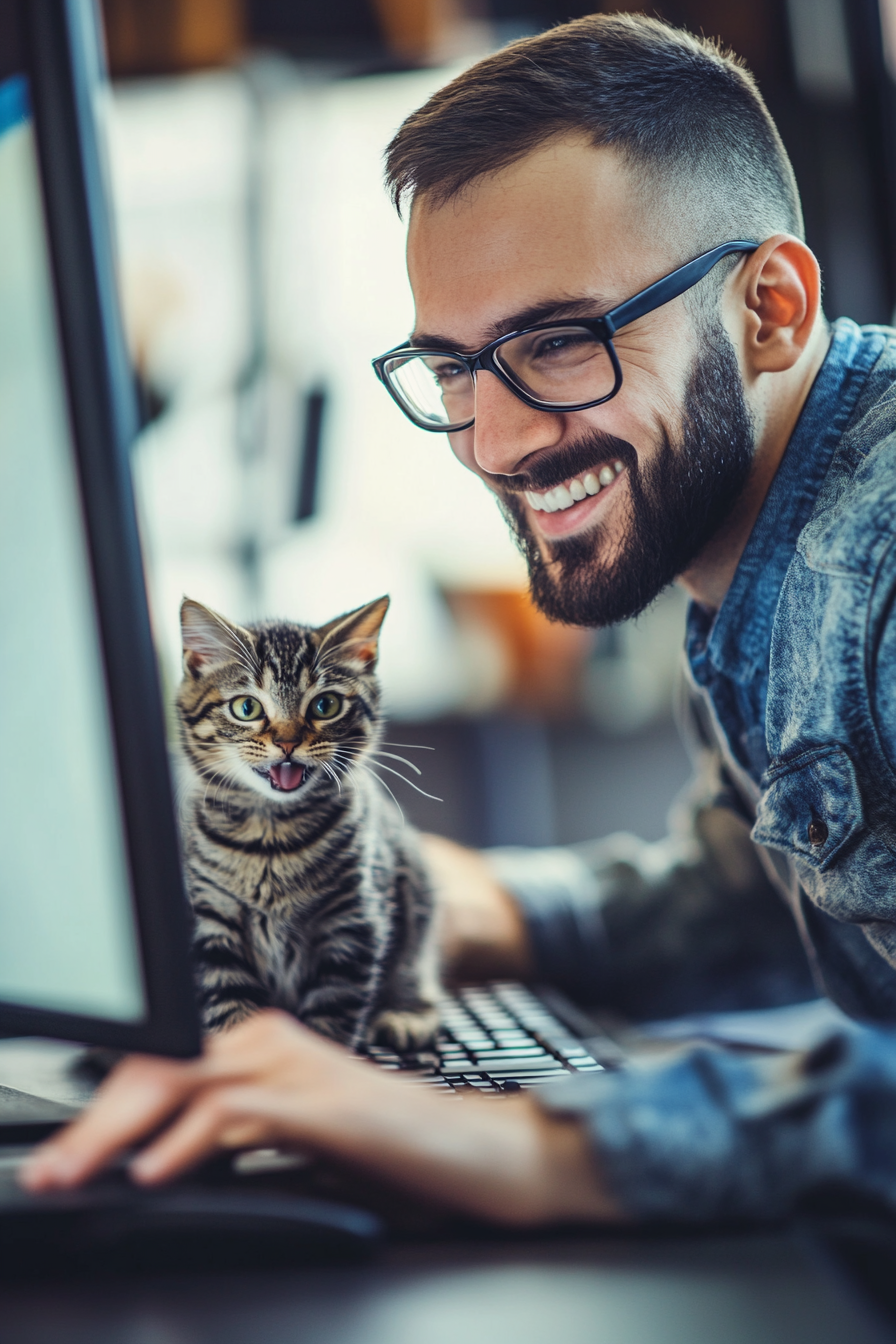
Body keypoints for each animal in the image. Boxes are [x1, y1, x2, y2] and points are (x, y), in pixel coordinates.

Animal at [173, 596, 440, 1048]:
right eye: (246, 707)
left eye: (325, 705)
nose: (287, 742)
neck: (271, 835)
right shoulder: (211, 922)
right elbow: (232, 1011)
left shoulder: (351, 924)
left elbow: (330, 1020)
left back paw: (407, 1013)